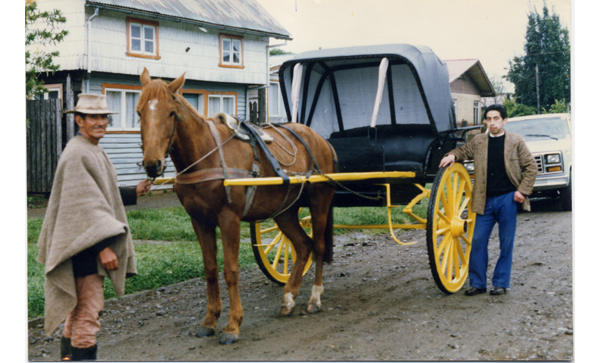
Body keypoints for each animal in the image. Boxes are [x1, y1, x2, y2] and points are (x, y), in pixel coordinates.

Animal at [138, 69, 340, 346]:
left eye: (171, 112)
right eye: (139, 112)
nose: (152, 164)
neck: (207, 154)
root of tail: (320, 139)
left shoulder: (229, 219)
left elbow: (231, 271)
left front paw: (233, 325)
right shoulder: (199, 221)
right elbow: (210, 269)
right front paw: (210, 319)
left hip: (320, 202)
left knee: (318, 246)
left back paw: (315, 296)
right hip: (285, 211)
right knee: (302, 246)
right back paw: (289, 297)